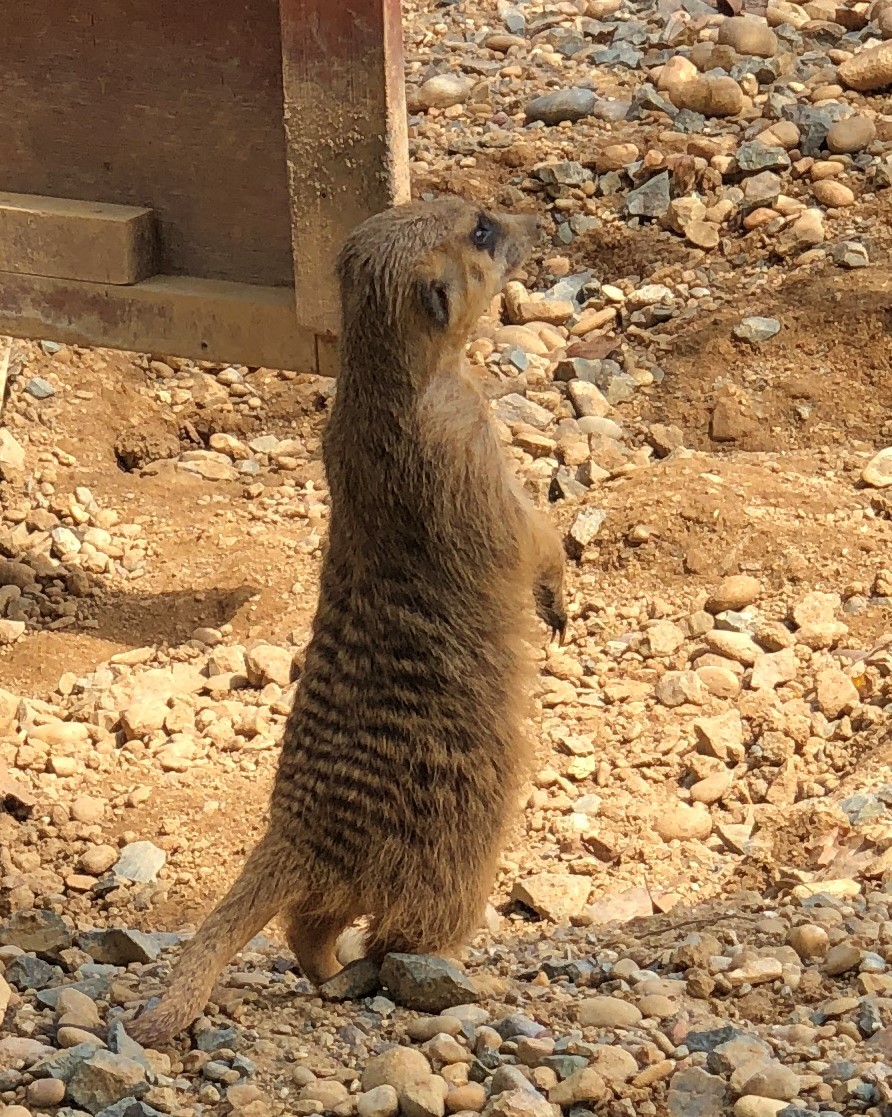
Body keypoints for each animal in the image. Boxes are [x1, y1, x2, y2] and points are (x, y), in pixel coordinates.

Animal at [126, 197, 567, 1048]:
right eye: (482, 231)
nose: (534, 220)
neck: (387, 391)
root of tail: (295, 826)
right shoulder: (465, 454)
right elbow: (524, 534)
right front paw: (555, 588)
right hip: (455, 830)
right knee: (410, 922)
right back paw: (448, 974)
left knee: (312, 916)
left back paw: (325, 968)